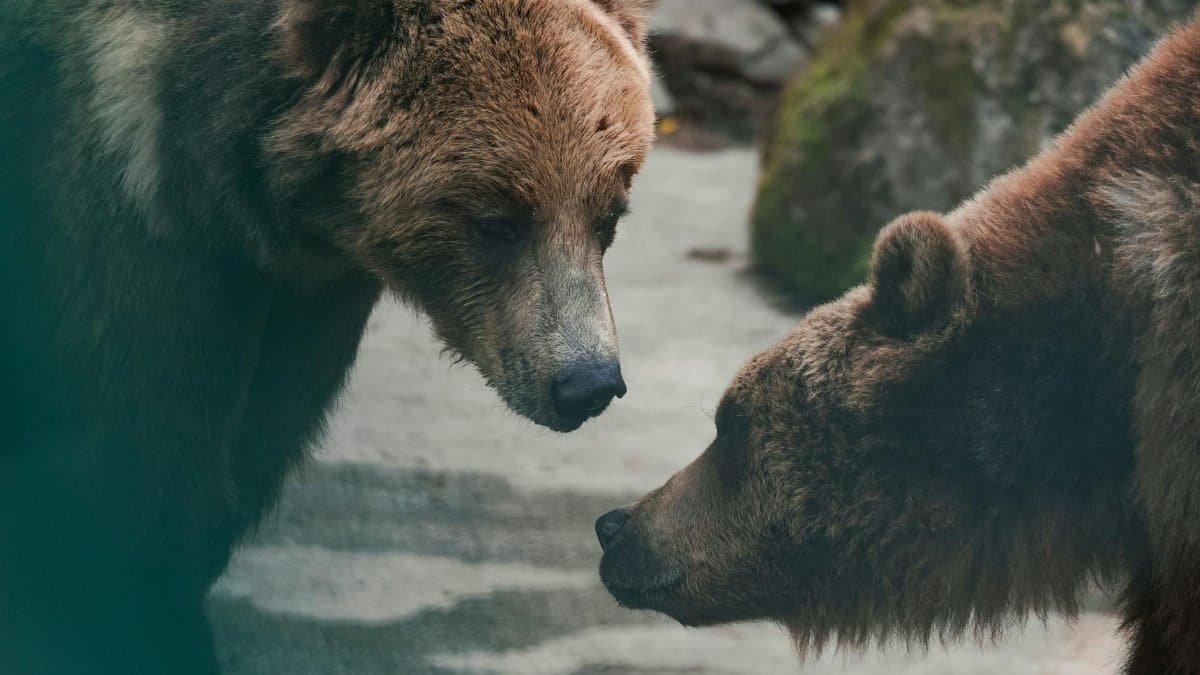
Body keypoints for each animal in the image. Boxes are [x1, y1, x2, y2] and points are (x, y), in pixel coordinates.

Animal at [0, 0, 654, 673]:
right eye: (497, 222)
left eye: (608, 213)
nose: (586, 384)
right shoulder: (114, 226)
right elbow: (129, 462)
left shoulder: (306, 298)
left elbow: (248, 446)